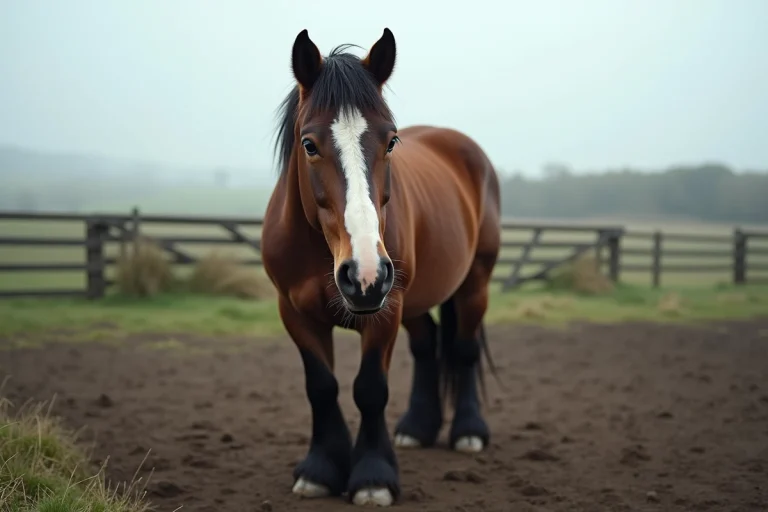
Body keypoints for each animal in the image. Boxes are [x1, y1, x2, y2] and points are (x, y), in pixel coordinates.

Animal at [261, 28, 501, 507]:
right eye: (309, 144)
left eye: (390, 141)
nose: (365, 274)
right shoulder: (294, 313)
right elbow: (322, 386)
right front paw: (320, 470)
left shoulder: (384, 311)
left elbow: (369, 389)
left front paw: (373, 477)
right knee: (427, 344)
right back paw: (415, 429)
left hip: (473, 284)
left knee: (463, 349)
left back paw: (468, 432)